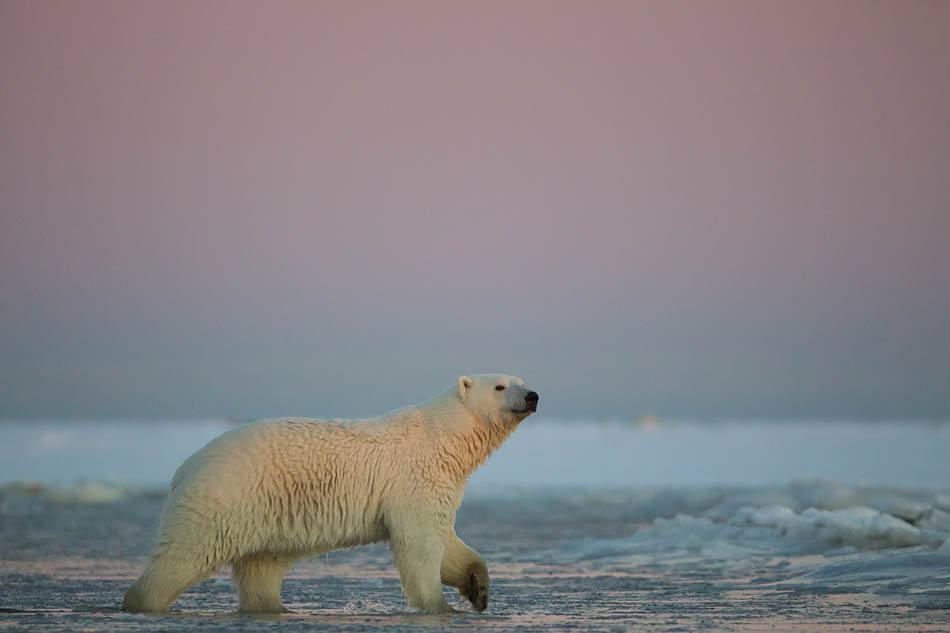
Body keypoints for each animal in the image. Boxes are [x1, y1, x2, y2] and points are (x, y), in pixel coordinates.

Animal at [122, 376, 540, 612]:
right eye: (501, 386)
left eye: (521, 379)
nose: (532, 396)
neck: (443, 436)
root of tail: (186, 465)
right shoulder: (414, 478)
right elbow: (419, 546)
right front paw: (439, 607)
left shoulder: (440, 482)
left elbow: (447, 543)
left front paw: (478, 590)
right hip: (224, 497)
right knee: (183, 556)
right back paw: (140, 603)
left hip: (268, 514)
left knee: (262, 569)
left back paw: (274, 609)